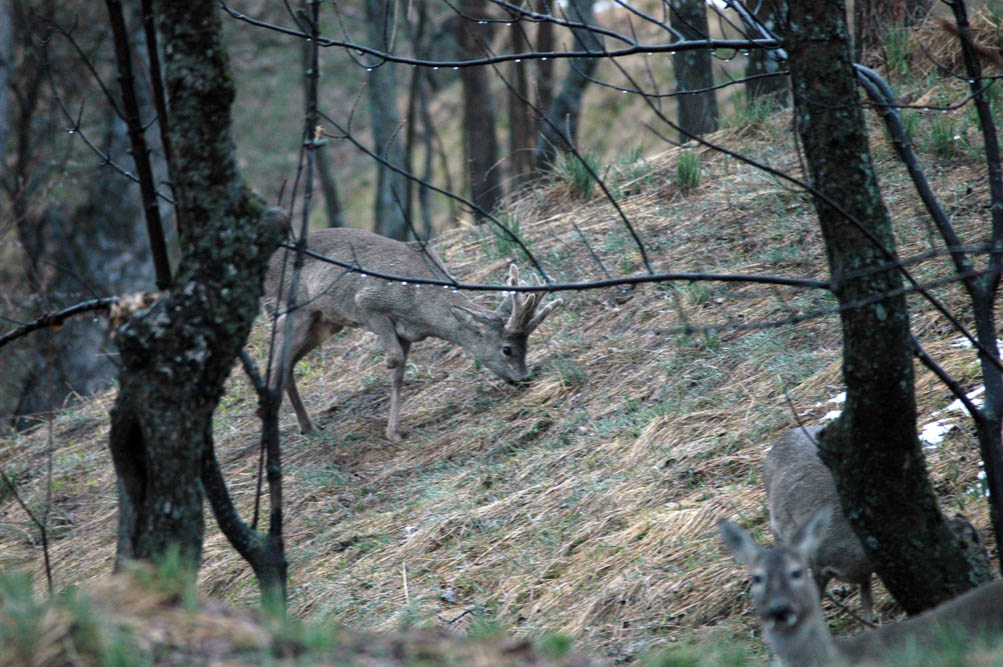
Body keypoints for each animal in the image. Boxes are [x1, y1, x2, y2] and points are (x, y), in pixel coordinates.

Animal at [264, 228, 565, 441]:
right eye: (507, 349)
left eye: (527, 345)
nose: (524, 379)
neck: (419, 302)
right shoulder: (368, 303)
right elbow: (394, 359)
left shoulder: (408, 334)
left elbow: (399, 375)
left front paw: (393, 433)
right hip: (296, 309)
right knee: (278, 361)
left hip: (324, 321)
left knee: (287, 364)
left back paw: (308, 427)